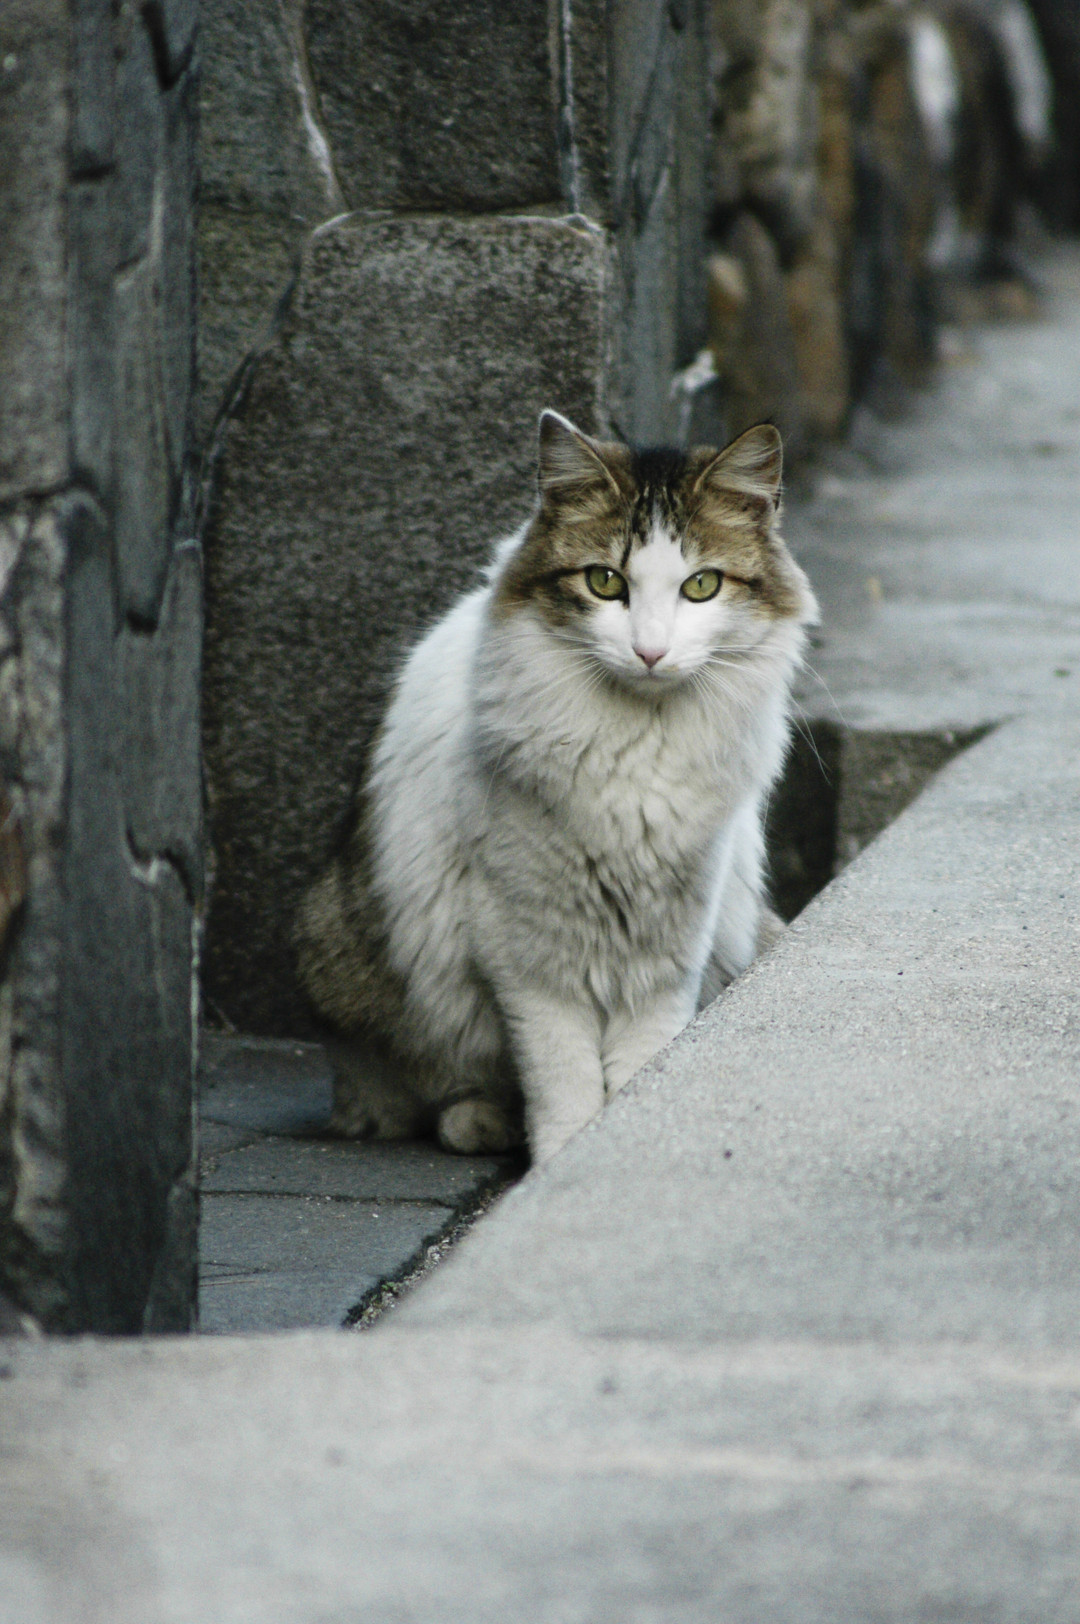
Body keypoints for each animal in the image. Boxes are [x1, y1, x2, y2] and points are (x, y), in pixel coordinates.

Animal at [294, 411, 817, 1164]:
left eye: (700, 587)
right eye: (604, 582)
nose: (650, 652)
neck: (637, 746)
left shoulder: (675, 935)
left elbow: (642, 1055)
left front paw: (622, 1135)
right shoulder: (524, 945)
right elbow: (561, 1070)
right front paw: (567, 1153)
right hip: (346, 961)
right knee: (413, 1095)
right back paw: (480, 1122)